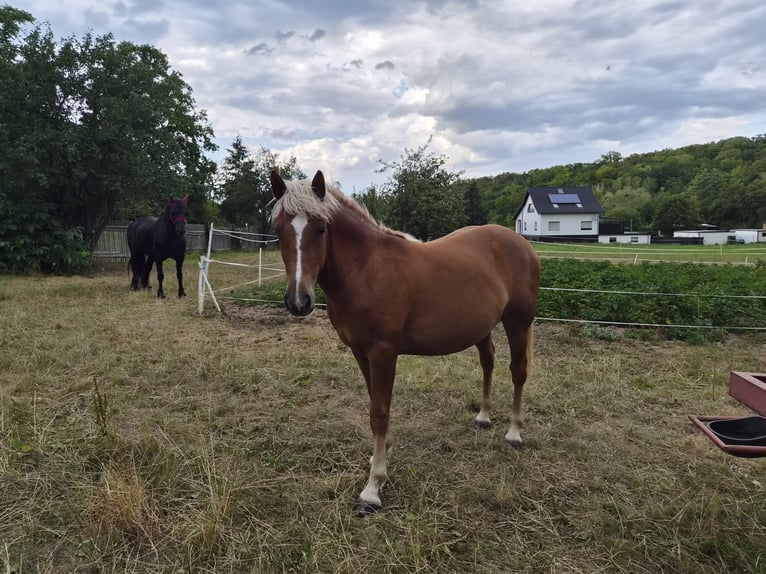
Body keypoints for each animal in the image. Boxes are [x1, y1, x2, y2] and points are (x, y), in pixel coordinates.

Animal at [269, 170, 540, 514]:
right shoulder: (361, 352)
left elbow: (379, 413)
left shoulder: (383, 352)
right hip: (483, 328)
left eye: (321, 229)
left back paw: (514, 432)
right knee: (488, 361)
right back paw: (483, 417)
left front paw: (372, 489)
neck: (365, 268)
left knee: (518, 371)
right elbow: (375, 403)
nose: (298, 302)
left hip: (518, 322)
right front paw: (380, 454)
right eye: (278, 230)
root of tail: (521, 243)